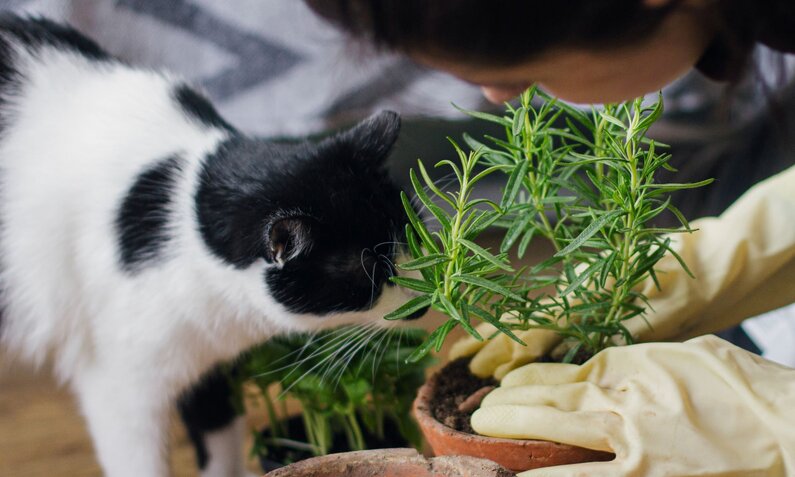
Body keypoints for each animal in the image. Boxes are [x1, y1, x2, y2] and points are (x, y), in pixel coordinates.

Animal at [0, 14, 422, 476]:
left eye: (412, 235)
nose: (422, 306)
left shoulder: (212, 369)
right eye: (370, 274)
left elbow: (220, 440)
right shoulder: (120, 386)